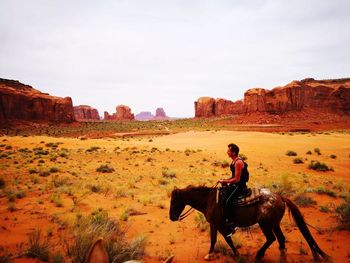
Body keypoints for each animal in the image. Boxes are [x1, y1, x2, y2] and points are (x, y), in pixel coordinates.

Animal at [170, 187, 328, 262]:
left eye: (174, 201)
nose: (171, 217)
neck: (209, 200)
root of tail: (280, 197)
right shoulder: (213, 224)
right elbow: (213, 239)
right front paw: (209, 254)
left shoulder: (221, 225)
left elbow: (228, 240)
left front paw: (236, 253)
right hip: (274, 223)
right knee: (281, 239)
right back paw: (281, 257)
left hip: (265, 224)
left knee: (271, 238)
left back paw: (259, 255)